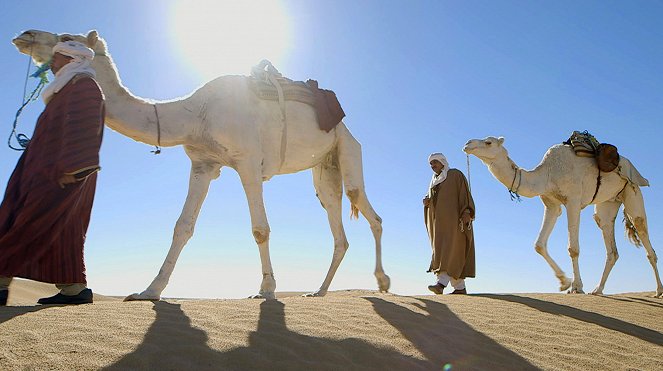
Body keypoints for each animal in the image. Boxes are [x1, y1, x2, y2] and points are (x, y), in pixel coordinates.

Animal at [13, 30, 390, 300]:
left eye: (66, 38)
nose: (25, 34)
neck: (195, 114)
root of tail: (345, 123)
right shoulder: (203, 165)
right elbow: (182, 227)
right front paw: (149, 291)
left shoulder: (248, 162)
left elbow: (260, 229)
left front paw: (266, 290)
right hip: (324, 168)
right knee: (336, 220)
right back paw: (320, 291)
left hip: (348, 148)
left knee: (366, 208)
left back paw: (383, 283)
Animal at [464, 135, 660, 298]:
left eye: (488, 142)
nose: (467, 144)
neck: (546, 174)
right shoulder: (551, 204)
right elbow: (539, 245)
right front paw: (564, 282)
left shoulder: (573, 201)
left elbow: (573, 248)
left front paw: (576, 287)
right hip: (608, 202)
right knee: (609, 242)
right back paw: (598, 290)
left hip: (632, 191)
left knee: (642, 231)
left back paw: (658, 291)